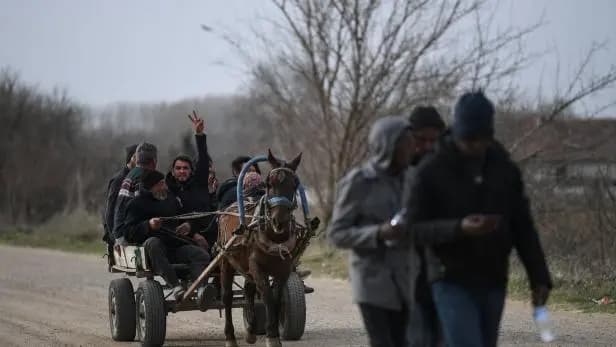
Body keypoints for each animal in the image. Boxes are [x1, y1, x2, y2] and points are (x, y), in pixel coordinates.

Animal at [217, 150, 304, 347]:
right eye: (268, 183)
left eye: (295, 184)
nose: (279, 221)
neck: (275, 237)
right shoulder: (257, 267)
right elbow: (268, 297)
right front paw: (272, 336)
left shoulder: (283, 269)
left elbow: (276, 298)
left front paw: (273, 332)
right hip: (226, 260)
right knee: (227, 297)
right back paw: (230, 337)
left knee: (249, 290)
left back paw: (251, 330)